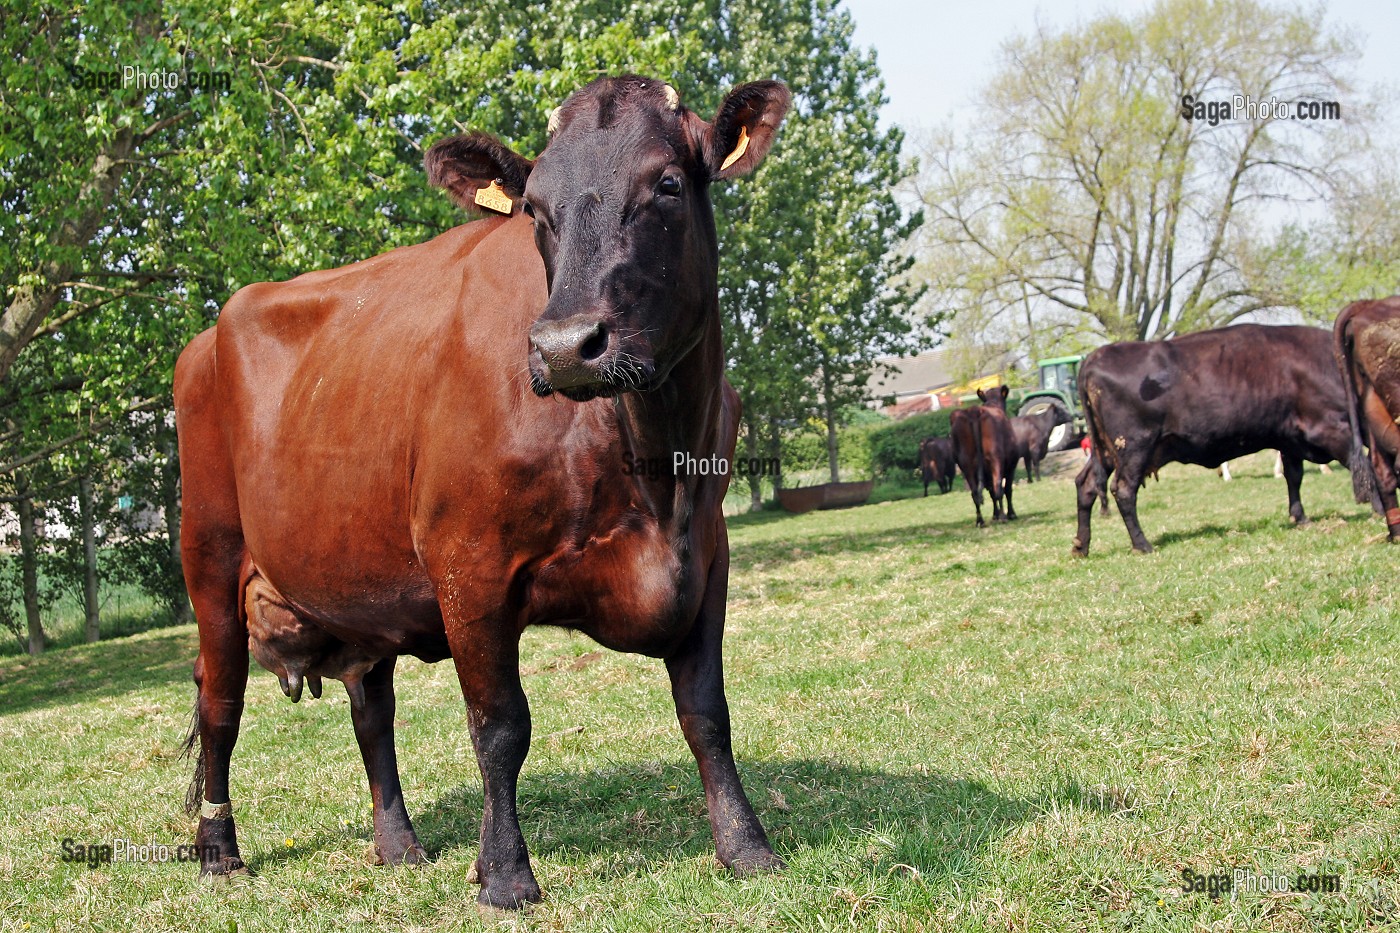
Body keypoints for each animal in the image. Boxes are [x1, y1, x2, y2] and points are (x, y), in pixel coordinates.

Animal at [170, 76, 795, 902]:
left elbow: (706, 710)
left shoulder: (709, 553)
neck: (653, 461)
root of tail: (207, 336)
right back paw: (218, 846)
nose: (564, 347)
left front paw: (746, 845)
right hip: (210, 557)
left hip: (358, 582)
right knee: (221, 702)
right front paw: (504, 873)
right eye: (535, 209)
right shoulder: (469, 564)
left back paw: (397, 843)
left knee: (371, 708)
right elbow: (500, 725)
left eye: (666, 184)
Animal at [946, 381, 1013, 523]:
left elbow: (991, 493)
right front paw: (1009, 514)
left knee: (975, 493)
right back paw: (1003, 517)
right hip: (995, 458)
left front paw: (995, 515)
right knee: (998, 487)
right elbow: (1007, 489)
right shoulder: (1012, 464)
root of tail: (974, 411)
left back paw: (980, 521)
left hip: (966, 464)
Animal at [1069, 322, 1355, 551]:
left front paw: (1300, 517)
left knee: (1086, 484)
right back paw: (1142, 544)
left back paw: (1081, 545)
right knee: (1124, 490)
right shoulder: (1331, 429)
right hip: (1134, 447)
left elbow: (1294, 477)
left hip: (1106, 451)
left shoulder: (1290, 439)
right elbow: (1356, 462)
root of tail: (1095, 357)